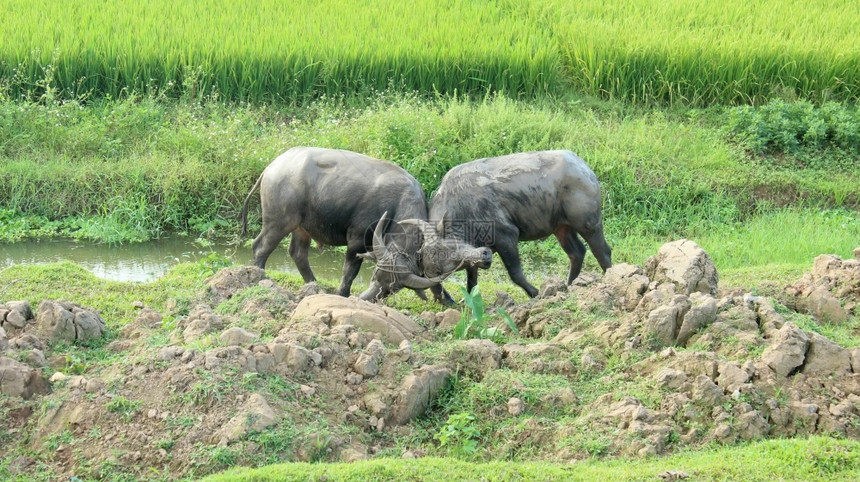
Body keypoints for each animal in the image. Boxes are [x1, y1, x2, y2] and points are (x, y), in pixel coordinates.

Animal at [240, 147, 490, 302]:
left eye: (392, 289)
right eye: (375, 278)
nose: (371, 298)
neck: (397, 202)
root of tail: (273, 166)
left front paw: (447, 299)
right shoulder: (357, 240)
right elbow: (349, 271)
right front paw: (342, 294)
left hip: (302, 227)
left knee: (297, 253)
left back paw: (313, 284)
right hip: (279, 221)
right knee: (260, 247)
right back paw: (259, 277)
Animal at [430, 151, 612, 296]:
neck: (460, 207)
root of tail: (583, 167)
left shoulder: (506, 236)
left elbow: (515, 274)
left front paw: (535, 293)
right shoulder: (475, 249)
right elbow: (471, 279)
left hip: (588, 224)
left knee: (602, 251)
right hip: (561, 228)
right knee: (577, 252)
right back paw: (568, 286)